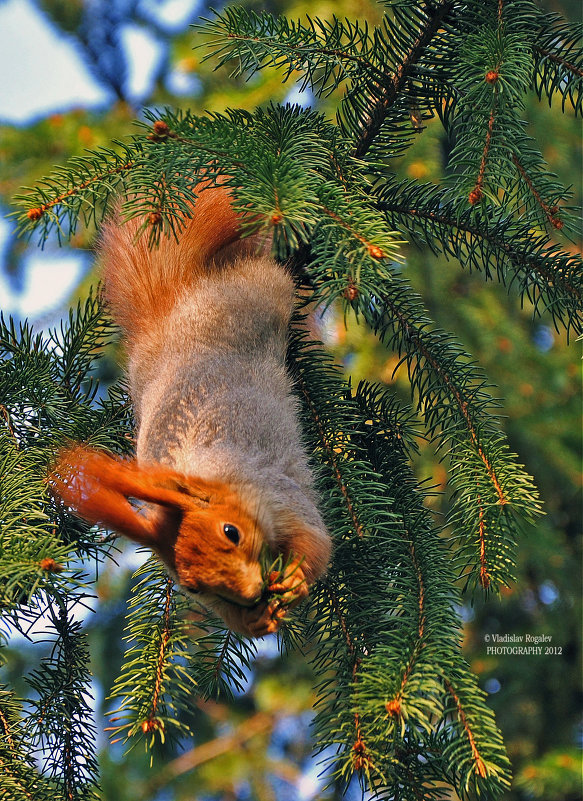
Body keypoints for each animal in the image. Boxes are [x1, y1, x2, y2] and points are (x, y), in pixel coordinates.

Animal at [51, 183, 334, 636]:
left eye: (231, 532)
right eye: (193, 587)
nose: (252, 593)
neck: (211, 472)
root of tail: (171, 313)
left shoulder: (275, 491)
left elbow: (315, 538)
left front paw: (294, 576)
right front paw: (254, 619)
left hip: (255, 296)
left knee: (272, 276)